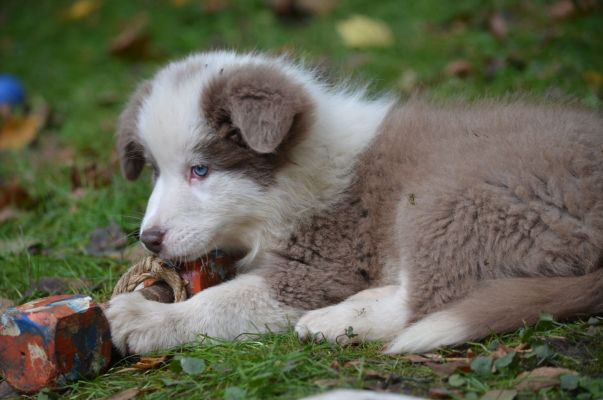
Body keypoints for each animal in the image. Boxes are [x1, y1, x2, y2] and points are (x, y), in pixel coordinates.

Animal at [107, 50, 603, 355]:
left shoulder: (324, 262)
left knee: (427, 300)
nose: (149, 240)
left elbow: (224, 301)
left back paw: (335, 320)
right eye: (154, 171)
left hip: (451, 200)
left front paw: (146, 319)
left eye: (201, 169)